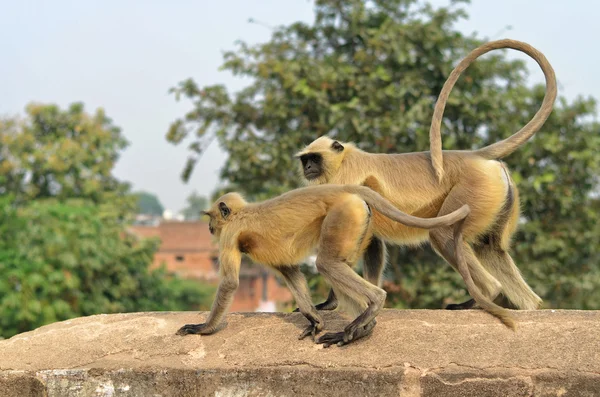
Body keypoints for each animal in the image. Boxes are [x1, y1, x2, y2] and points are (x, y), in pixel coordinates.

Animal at [176, 183, 512, 346]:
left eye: (211, 218)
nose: (208, 228)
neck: (243, 213)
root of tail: (344, 189)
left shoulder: (231, 234)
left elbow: (230, 283)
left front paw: (203, 328)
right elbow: (290, 270)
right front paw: (314, 320)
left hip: (344, 215)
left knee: (327, 263)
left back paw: (368, 311)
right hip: (356, 223)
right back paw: (364, 327)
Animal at [296, 38, 556, 314]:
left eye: (314, 159)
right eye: (305, 160)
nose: (308, 168)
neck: (345, 159)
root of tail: (474, 156)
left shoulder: (345, 180)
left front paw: (332, 303)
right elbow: (372, 241)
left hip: (475, 190)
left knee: (445, 235)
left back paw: (482, 296)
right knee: (490, 247)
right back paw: (527, 307)